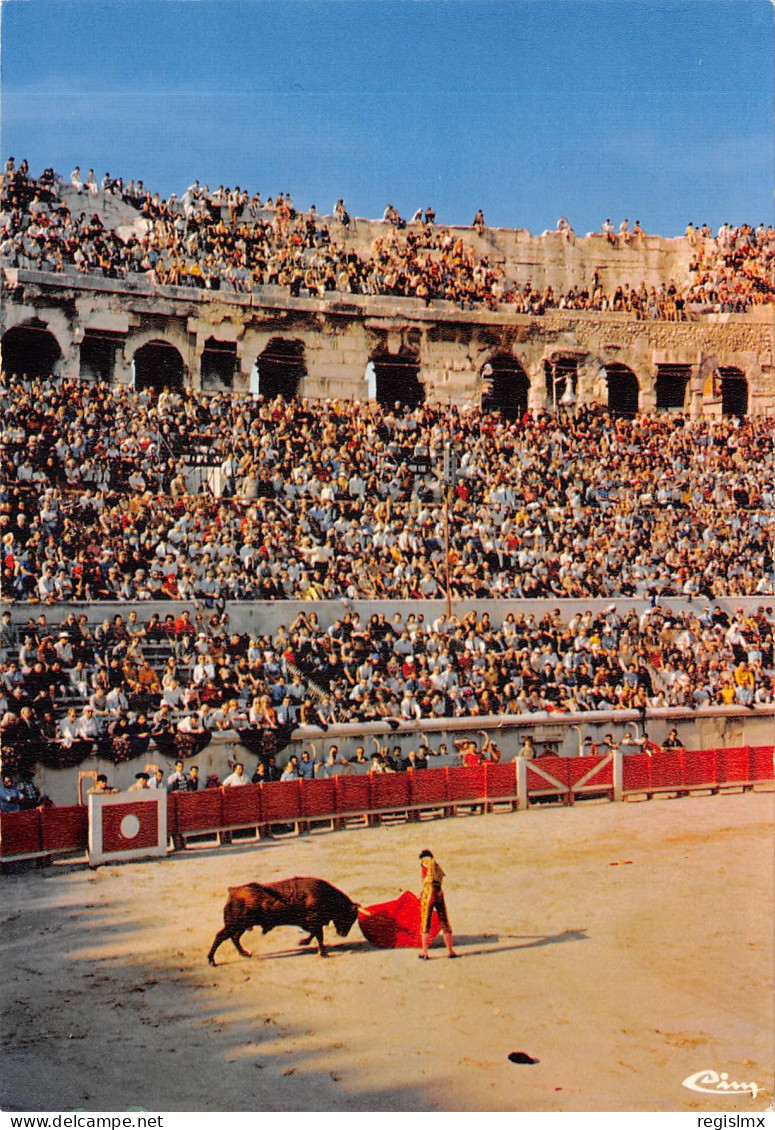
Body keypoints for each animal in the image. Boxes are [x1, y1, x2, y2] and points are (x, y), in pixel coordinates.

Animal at [207, 876, 363, 967]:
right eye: (350, 917)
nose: (343, 934)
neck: (326, 895)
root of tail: (233, 891)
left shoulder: (310, 923)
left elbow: (314, 934)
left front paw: (304, 942)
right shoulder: (314, 920)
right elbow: (319, 936)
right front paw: (324, 953)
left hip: (241, 926)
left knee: (234, 938)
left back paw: (245, 953)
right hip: (234, 924)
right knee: (221, 936)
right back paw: (212, 960)